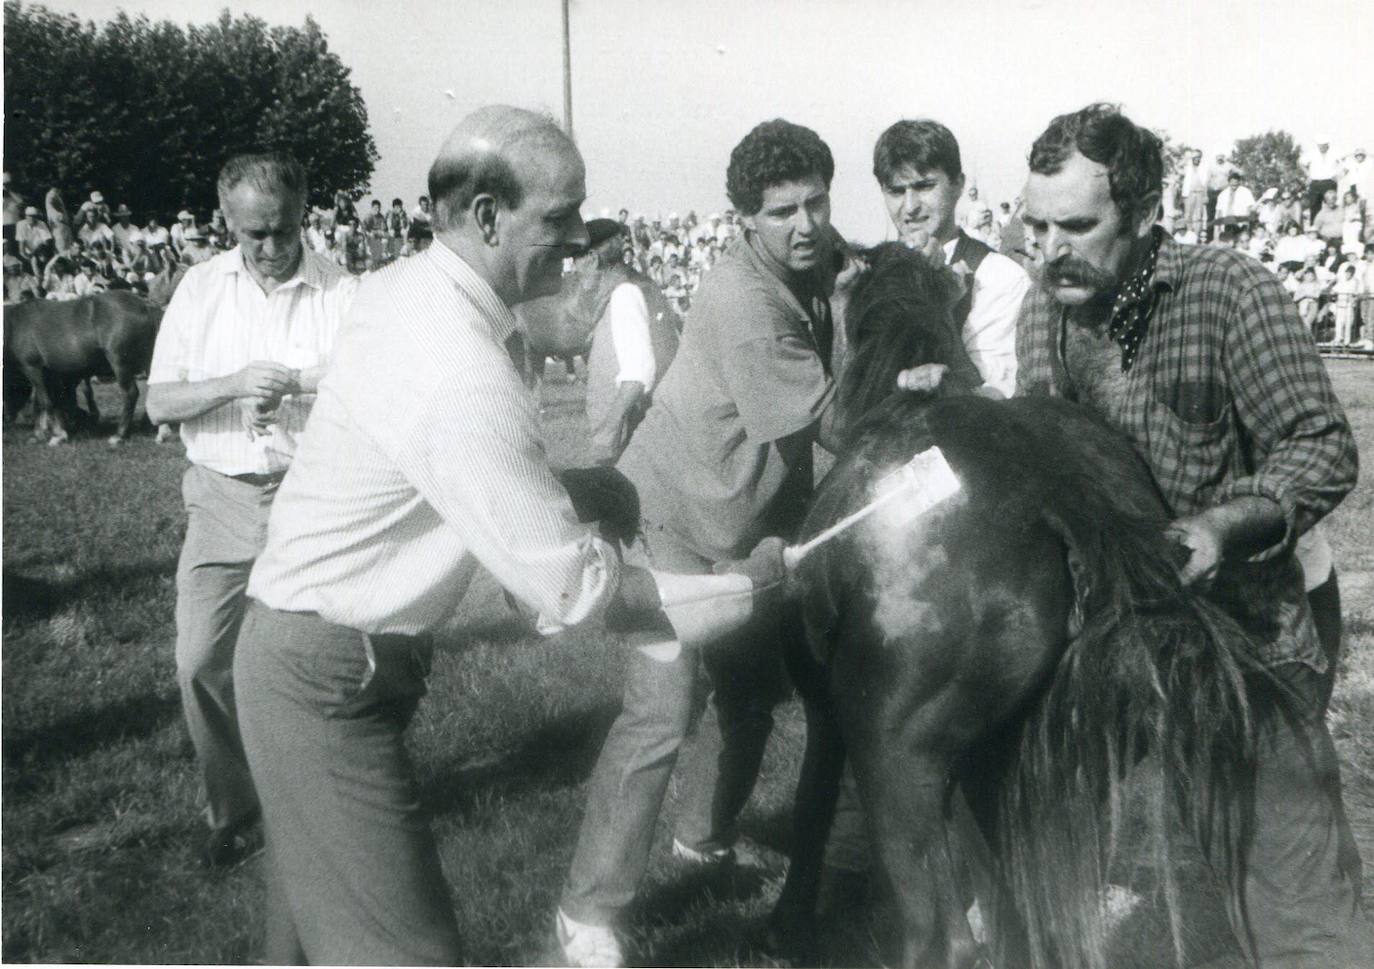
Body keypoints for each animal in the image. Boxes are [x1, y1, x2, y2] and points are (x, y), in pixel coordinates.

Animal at [769, 246, 1258, 967]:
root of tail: (1056, 486)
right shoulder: (987, 764)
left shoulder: (829, 714)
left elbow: (810, 804)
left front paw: (789, 920)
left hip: (893, 755)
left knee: (941, 936)